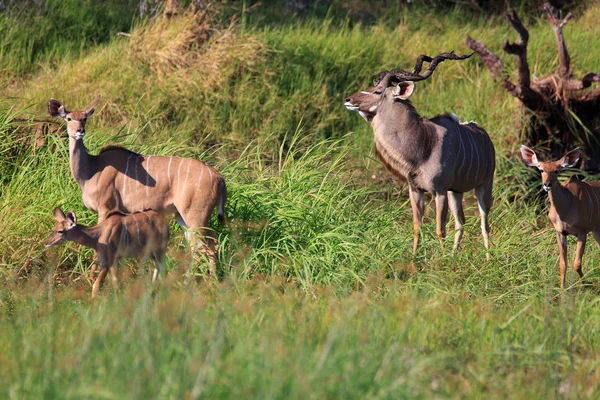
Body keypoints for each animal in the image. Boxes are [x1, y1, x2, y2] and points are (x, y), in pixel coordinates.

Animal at [48, 97, 226, 274]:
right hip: (181, 216)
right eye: (69, 118)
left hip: (196, 216)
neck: (92, 170)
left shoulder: (106, 208)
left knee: (211, 246)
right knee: (196, 248)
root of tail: (219, 177)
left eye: (84, 118)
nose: (80, 131)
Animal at [344, 51, 494, 258]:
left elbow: (440, 230)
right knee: (460, 222)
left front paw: (441, 261)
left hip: (484, 186)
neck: (424, 144)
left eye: (377, 92)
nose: (348, 100)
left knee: (484, 223)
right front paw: (415, 260)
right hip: (456, 192)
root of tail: (485, 136)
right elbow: (417, 227)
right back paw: (454, 255)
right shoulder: (415, 189)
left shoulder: (439, 190)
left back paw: (487, 259)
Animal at [516, 145, 596, 290]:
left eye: (557, 170)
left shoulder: (583, 232)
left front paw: (587, 282)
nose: (547, 184)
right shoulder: (560, 232)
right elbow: (563, 264)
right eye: (541, 169)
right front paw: (562, 290)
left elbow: (577, 263)